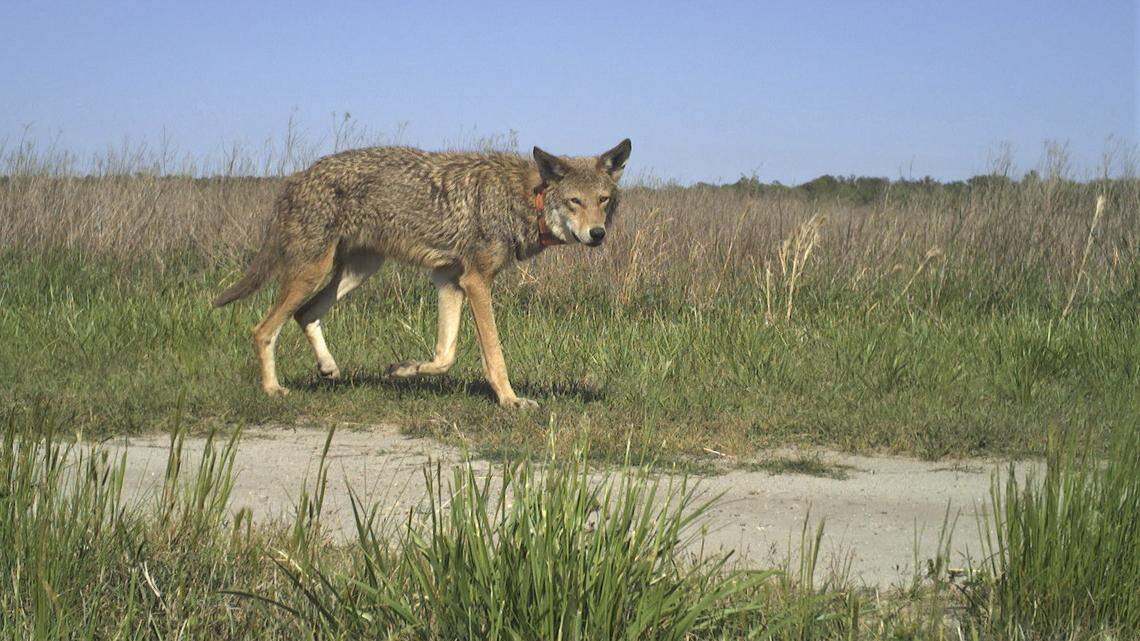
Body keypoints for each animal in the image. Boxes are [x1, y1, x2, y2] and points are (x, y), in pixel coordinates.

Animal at [213, 139, 632, 408]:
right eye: (575, 201)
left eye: (603, 200)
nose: (597, 234)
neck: (527, 199)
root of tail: (295, 178)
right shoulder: (476, 282)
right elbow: (493, 354)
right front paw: (510, 400)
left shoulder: (449, 280)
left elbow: (445, 355)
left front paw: (403, 369)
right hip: (313, 273)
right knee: (263, 329)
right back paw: (273, 390)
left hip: (357, 271)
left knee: (305, 314)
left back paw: (329, 368)